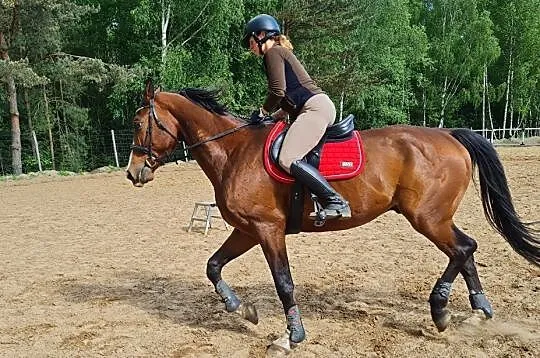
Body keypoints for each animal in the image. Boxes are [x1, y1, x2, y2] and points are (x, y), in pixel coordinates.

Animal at [127, 82, 540, 356]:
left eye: (137, 122)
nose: (133, 174)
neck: (233, 151)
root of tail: (450, 136)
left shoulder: (268, 229)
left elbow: (284, 283)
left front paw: (290, 336)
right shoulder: (247, 229)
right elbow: (213, 266)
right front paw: (241, 309)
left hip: (427, 218)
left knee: (463, 248)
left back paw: (440, 309)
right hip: (434, 218)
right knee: (466, 249)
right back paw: (477, 312)